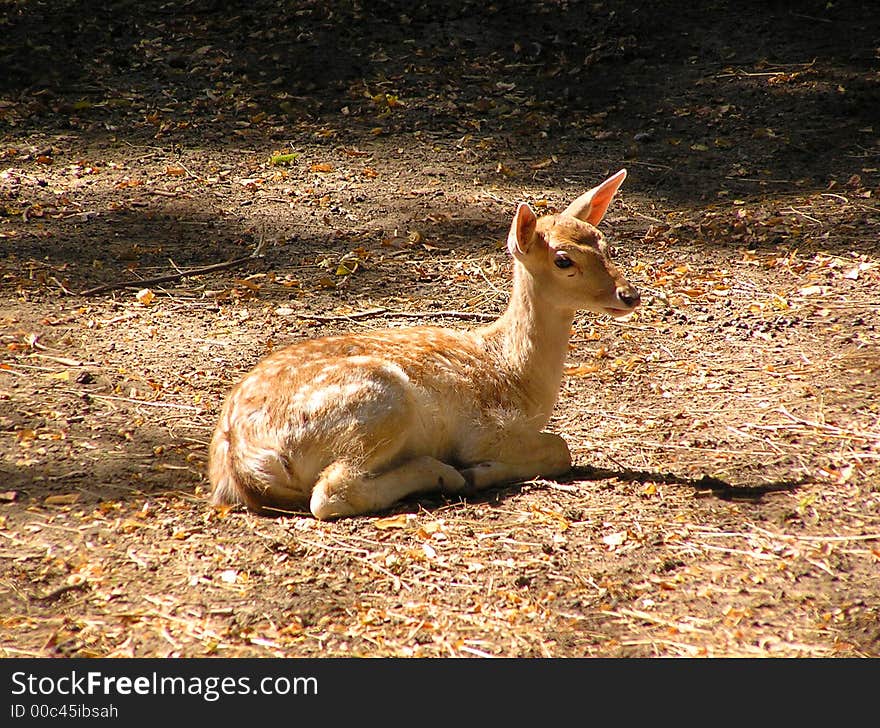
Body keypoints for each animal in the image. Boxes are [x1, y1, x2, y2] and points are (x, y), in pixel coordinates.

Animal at [211, 168, 644, 520]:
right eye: (563, 260)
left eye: (606, 245)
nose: (629, 295)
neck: (518, 377)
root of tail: (241, 463)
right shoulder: (484, 429)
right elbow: (560, 447)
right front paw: (480, 471)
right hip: (378, 403)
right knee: (330, 492)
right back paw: (442, 473)